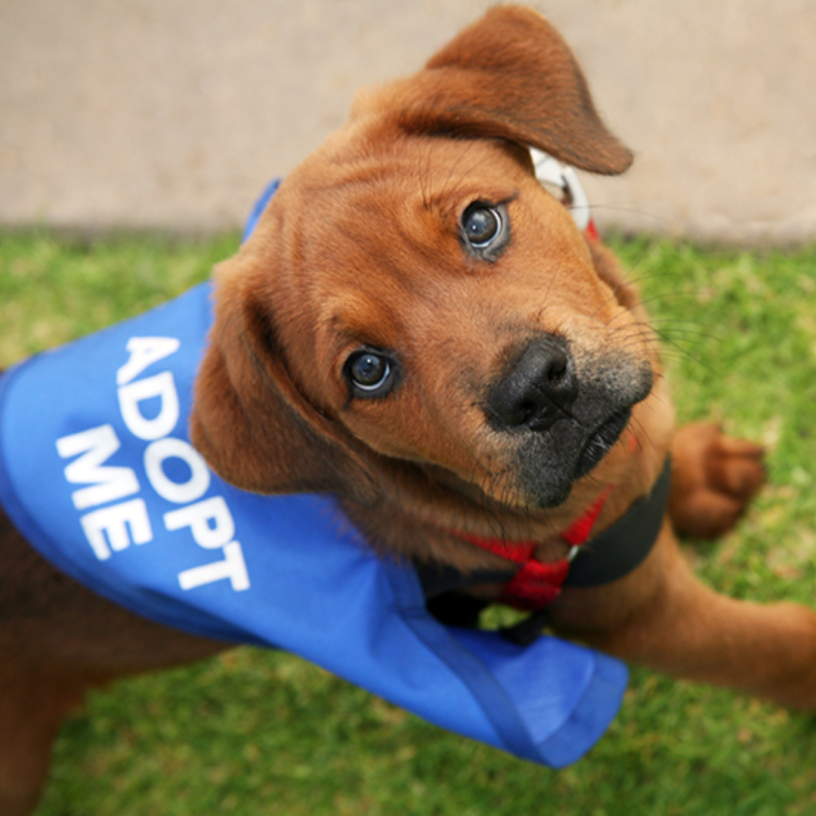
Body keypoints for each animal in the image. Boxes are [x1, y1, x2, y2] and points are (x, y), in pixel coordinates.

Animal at [1, 4, 816, 808]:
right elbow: (776, 649)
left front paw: (703, 473)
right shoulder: (634, 613)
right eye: (367, 370)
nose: (535, 387)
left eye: (481, 222)